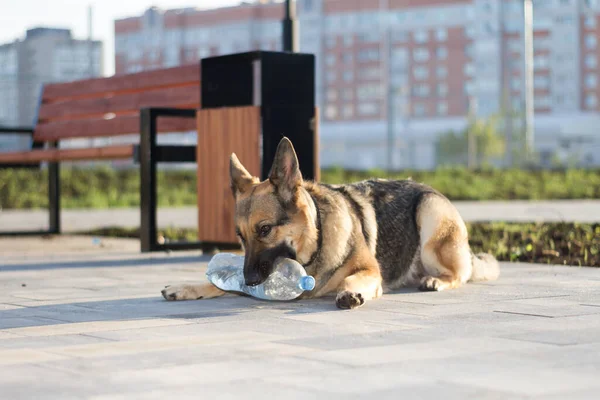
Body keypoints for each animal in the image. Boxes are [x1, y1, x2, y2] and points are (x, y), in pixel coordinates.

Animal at [162, 138, 500, 310]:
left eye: (265, 230)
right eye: (240, 236)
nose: (250, 280)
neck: (315, 243)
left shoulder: (370, 271)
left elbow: (354, 279)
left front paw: (351, 293)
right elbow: (217, 284)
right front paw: (185, 286)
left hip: (429, 216)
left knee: (460, 274)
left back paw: (437, 280)